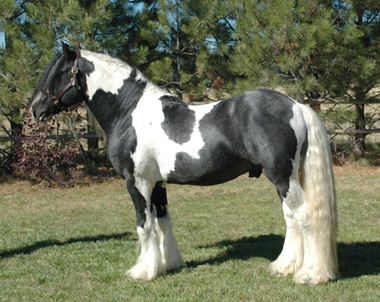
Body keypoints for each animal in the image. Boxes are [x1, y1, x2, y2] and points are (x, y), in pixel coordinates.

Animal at [29, 43, 338, 284]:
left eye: (57, 73)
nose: (34, 109)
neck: (129, 112)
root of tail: (296, 105)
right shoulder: (157, 184)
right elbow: (163, 221)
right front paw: (168, 264)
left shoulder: (137, 182)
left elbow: (144, 225)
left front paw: (143, 271)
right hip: (283, 178)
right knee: (291, 218)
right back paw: (285, 267)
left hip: (283, 177)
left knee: (306, 217)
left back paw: (310, 274)